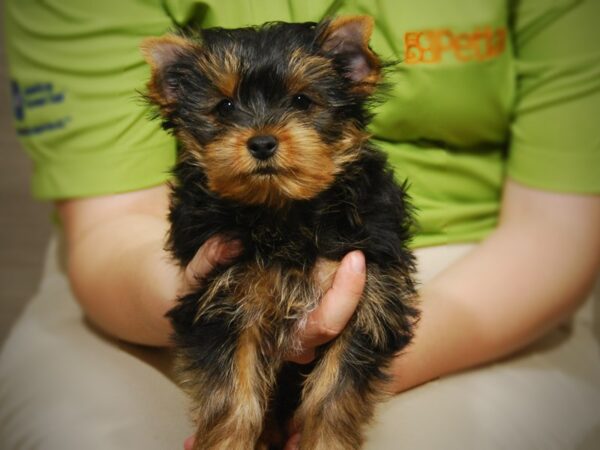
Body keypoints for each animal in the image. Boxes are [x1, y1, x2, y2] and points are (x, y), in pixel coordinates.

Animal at [143, 15, 420, 448]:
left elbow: (334, 391)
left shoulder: (370, 290)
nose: (261, 142)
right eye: (224, 107)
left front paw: (326, 441)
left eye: (302, 101)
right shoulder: (225, 293)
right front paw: (226, 442)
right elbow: (234, 395)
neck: (282, 210)